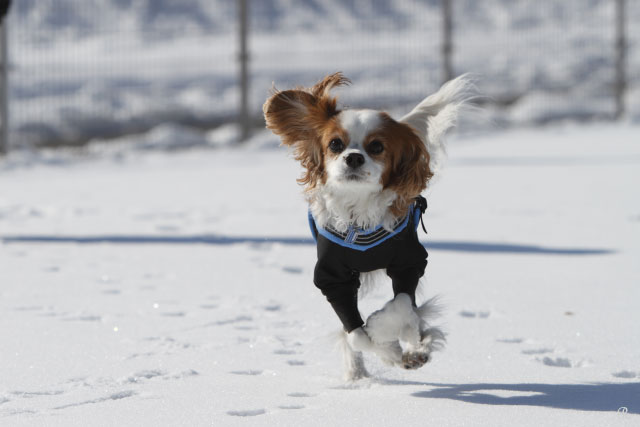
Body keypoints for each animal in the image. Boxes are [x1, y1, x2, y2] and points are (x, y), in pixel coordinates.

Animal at [262, 72, 468, 382]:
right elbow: (355, 335)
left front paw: (387, 334)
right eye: (335, 144)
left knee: (413, 316)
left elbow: (401, 305)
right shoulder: (333, 278)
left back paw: (417, 348)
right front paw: (388, 351)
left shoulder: (409, 263)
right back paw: (358, 371)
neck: (359, 214)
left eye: (377, 147)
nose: (354, 157)